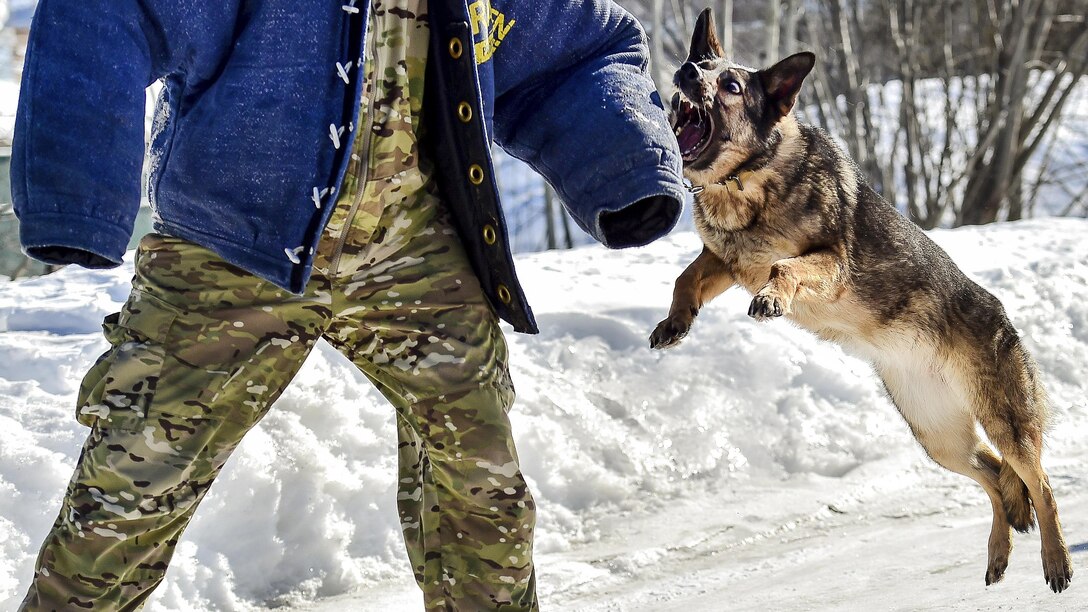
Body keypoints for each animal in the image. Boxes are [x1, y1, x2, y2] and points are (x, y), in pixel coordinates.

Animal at [652, 7, 1070, 592]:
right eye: (702, 64)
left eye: (730, 85)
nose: (687, 70)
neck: (749, 180)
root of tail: (1002, 316)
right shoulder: (726, 261)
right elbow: (684, 279)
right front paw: (675, 321)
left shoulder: (829, 263)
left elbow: (784, 267)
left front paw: (773, 298)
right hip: (939, 437)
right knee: (994, 475)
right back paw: (999, 549)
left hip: (1004, 421)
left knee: (1042, 482)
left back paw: (1057, 559)